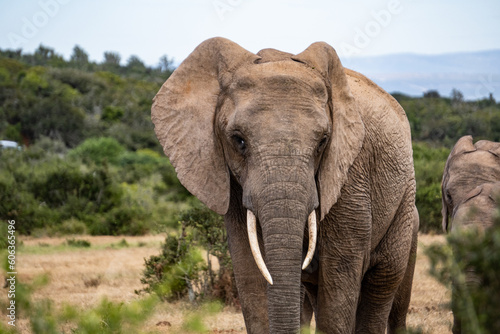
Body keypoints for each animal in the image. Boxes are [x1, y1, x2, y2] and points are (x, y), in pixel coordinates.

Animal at [151, 37, 418, 334]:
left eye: (323, 141)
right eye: (238, 140)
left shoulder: (351, 174)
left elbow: (340, 274)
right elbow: (250, 271)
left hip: (404, 200)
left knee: (382, 283)